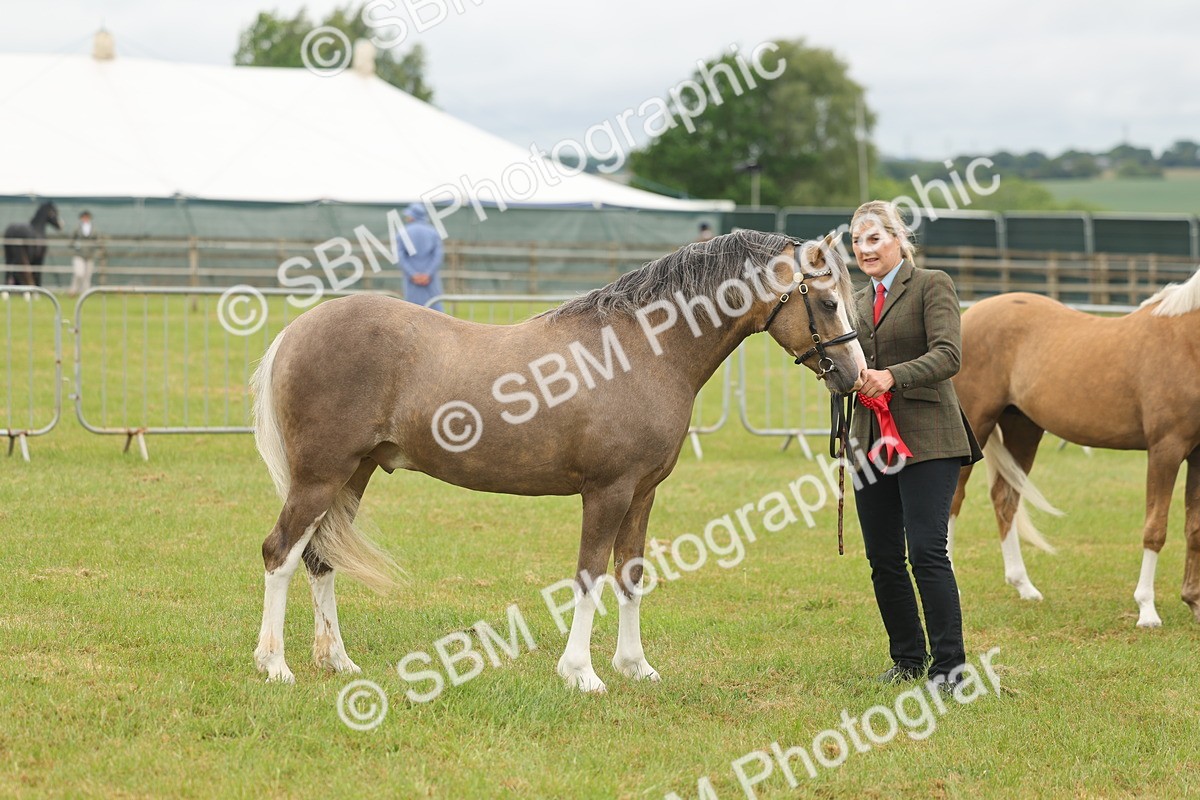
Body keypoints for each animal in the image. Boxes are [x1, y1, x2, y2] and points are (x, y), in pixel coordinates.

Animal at [249, 230, 867, 687]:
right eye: (828, 302)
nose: (855, 376)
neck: (640, 351)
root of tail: (296, 331)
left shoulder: (643, 493)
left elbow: (630, 573)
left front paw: (635, 666)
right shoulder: (607, 492)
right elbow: (590, 575)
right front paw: (581, 674)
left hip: (352, 476)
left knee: (320, 559)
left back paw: (337, 660)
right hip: (319, 477)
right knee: (280, 553)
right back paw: (275, 665)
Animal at [949, 267, 1200, 627]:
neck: (1186, 340)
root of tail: (970, 315)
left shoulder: (1197, 455)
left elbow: (1194, 529)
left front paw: (1194, 602)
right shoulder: (1166, 449)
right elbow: (1156, 529)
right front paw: (1147, 610)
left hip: (1022, 429)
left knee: (1005, 498)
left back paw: (1024, 586)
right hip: (975, 425)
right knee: (953, 501)